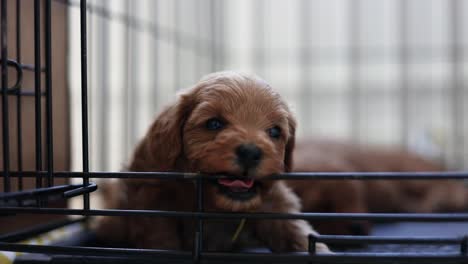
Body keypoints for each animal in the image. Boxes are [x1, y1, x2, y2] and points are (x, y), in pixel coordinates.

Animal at [94, 72, 330, 254]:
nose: (250, 152)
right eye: (214, 123)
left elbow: (292, 228)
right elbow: (161, 237)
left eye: (274, 131)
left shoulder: (273, 201)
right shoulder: (151, 195)